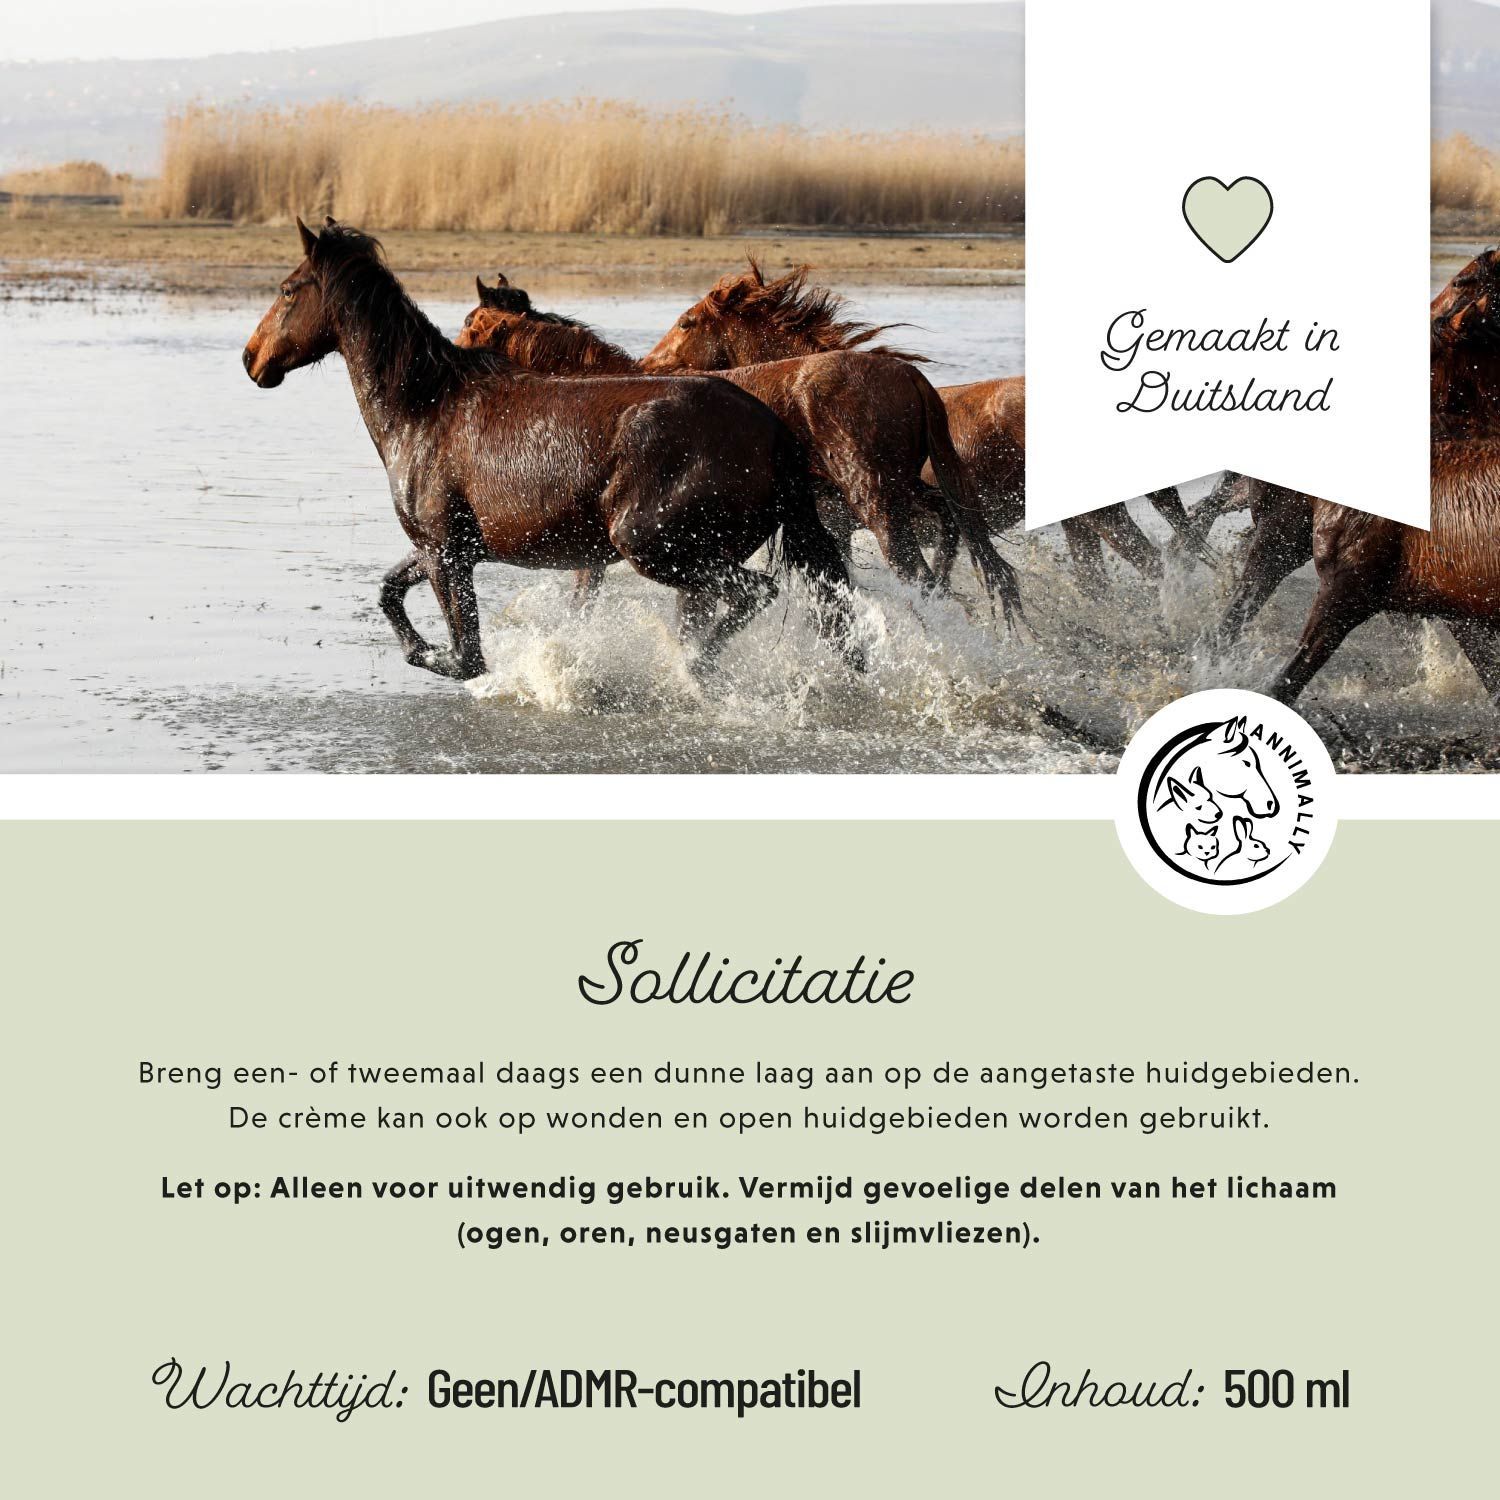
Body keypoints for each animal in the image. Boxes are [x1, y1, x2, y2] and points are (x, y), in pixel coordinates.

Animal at [241, 219, 861, 681]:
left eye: (287, 289)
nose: (252, 359)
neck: (424, 409)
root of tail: (772, 430)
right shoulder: (445, 548)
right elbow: (388, 591)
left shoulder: (445, 553)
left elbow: (466, 660)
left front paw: (438, 656)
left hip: (655, 547)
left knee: (757, 592)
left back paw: (692, 668)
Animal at [460, 275, 1024, 626]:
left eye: (469, 326)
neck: (601, 395)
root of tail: (910, 377)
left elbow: (584, 599)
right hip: (908, 490)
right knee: (952, 533)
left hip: (879, 501)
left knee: (919, 575)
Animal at [642, 261, 1224, 593]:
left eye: (687, 322)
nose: (645, 366)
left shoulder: (839, 525)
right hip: (1081, 522)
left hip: (1099, 516)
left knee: (1149, 565)